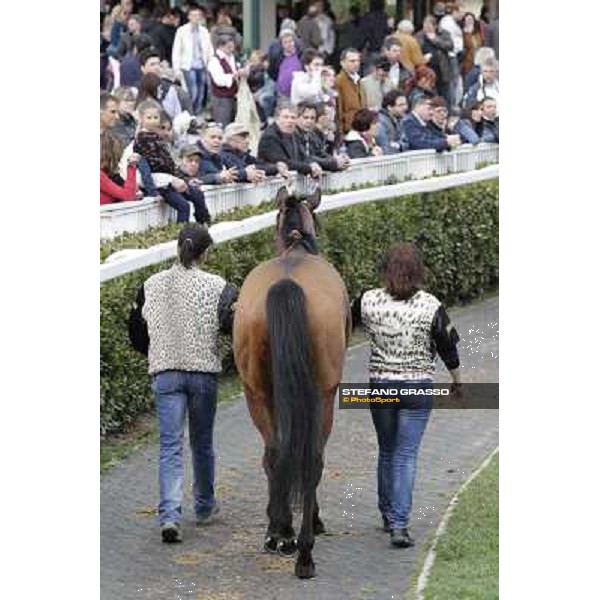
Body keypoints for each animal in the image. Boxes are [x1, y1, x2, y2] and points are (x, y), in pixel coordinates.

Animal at [232, 186, 350, 576]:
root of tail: (286, 283)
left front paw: (278, 529)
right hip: (323, 395)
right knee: (312, 457)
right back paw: (305, 551)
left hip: (255, 391)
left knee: (273, 453)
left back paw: (279, 533)